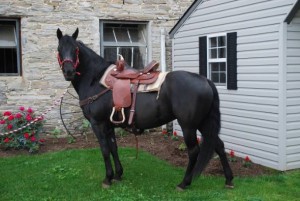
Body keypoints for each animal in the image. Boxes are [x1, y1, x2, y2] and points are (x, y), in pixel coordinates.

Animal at [56, 27, 234, 190]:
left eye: (75, 49)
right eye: (59, 49)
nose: (69, 71)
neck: (95, 79)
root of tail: (205, 80)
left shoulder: (97, 123)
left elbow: (105, 150)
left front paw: (108, 178)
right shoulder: (109, 125)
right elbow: (114, 148)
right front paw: (118, 174)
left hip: (189, 126)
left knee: (193, 151)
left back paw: (184, 183)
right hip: (204, 123)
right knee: (219, 145)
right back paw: (229, 180)